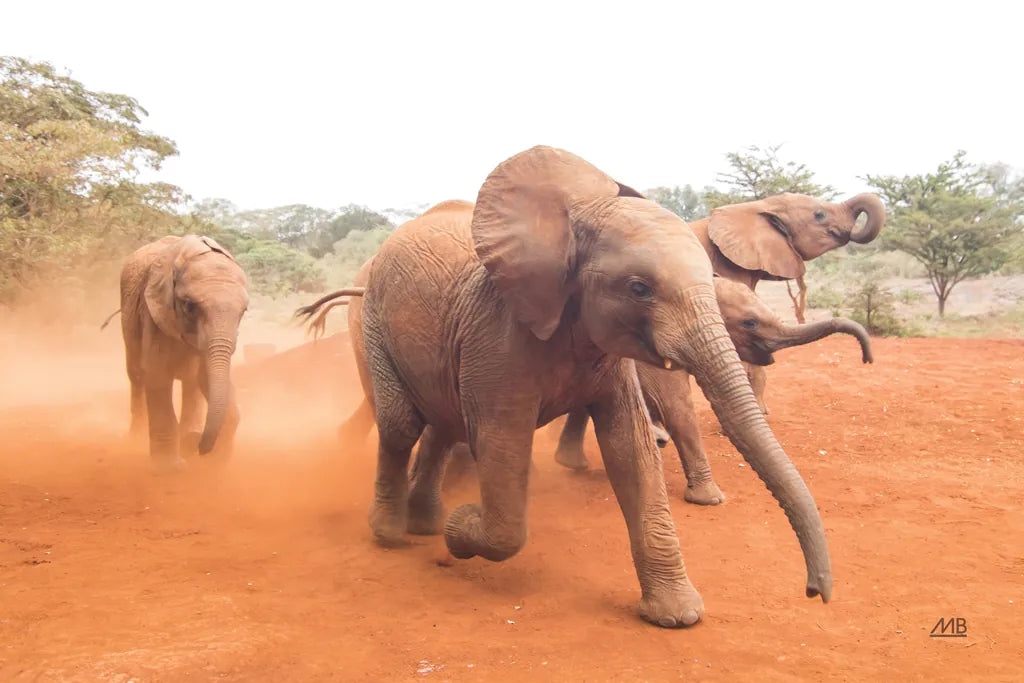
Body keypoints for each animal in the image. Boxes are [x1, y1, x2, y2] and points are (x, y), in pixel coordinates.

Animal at [117, 234, 249, 472]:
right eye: (189, 306)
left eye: (243, 311)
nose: (196, 448)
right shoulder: (154, 311)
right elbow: (157, 375)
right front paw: (168, 469)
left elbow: (206, 377)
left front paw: (218, 463)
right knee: (136, 375)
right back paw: (135, 440)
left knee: (191, 382)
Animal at [298, 146, 832, 628]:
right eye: (639, 289)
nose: (816, 592)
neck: (574, 227)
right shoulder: (498, 335)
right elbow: (503, 456)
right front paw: (461, 527)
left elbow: (631, 448)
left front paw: (677, 615)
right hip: (373, 325)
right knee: (401, 425)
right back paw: (393, 534)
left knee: (443, 425)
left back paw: (426, 523)